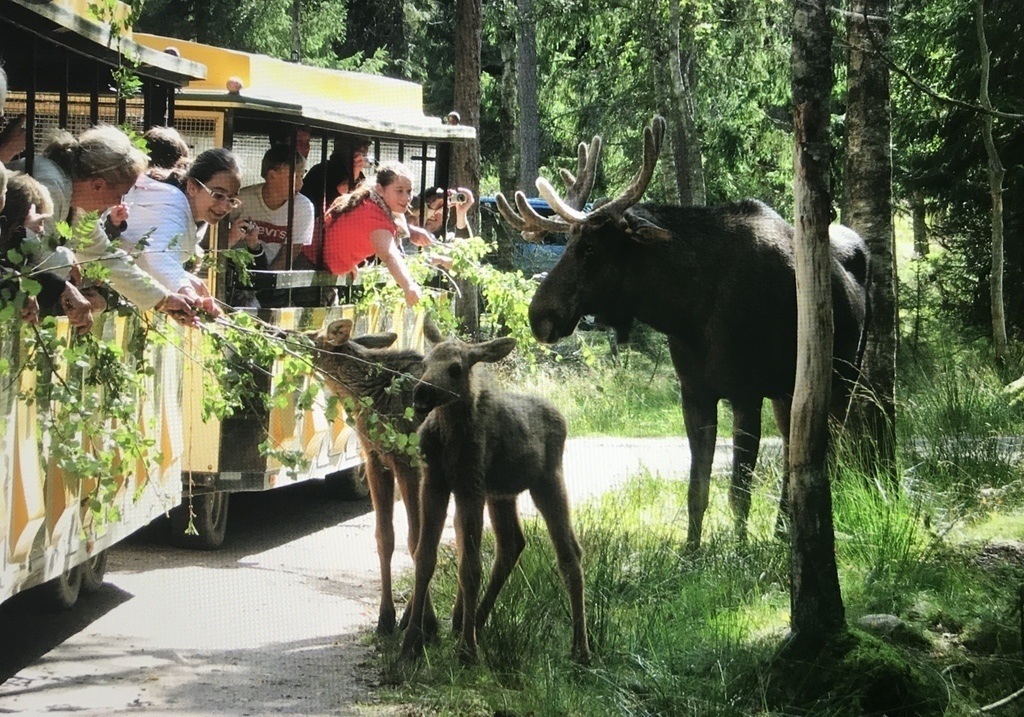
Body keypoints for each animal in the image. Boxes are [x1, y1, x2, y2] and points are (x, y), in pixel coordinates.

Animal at [310, 318, 436, 637]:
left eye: (308, 335)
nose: (279, 332)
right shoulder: (376, 459)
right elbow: (385, 538)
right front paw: (387, 617)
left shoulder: (407, 462)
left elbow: (415, 541)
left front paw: (425, 623)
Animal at [399, 323, 590, 665]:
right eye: (425, 363)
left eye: (456, 368)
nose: (422, 392)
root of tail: (562, 417)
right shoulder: (434, 482)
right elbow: (424, 557)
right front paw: (410, 645)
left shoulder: (470, 485)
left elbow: (470, 567)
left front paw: (467, 651)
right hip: (502, 494)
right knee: (512, 543)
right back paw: (473, 620)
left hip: (548, 481)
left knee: (570, 552)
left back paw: (581, 648)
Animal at [496, 116, 870, 550]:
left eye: (589, 248)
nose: (539, 315)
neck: (687, 311)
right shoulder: (694, 393)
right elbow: (698, 488)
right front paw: (691, 550)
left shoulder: (746, 391)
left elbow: (738, 490)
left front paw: (740, 550)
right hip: (788, 392)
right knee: (795, 452)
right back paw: (781, 531)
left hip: (842, 377)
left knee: (829, 451)